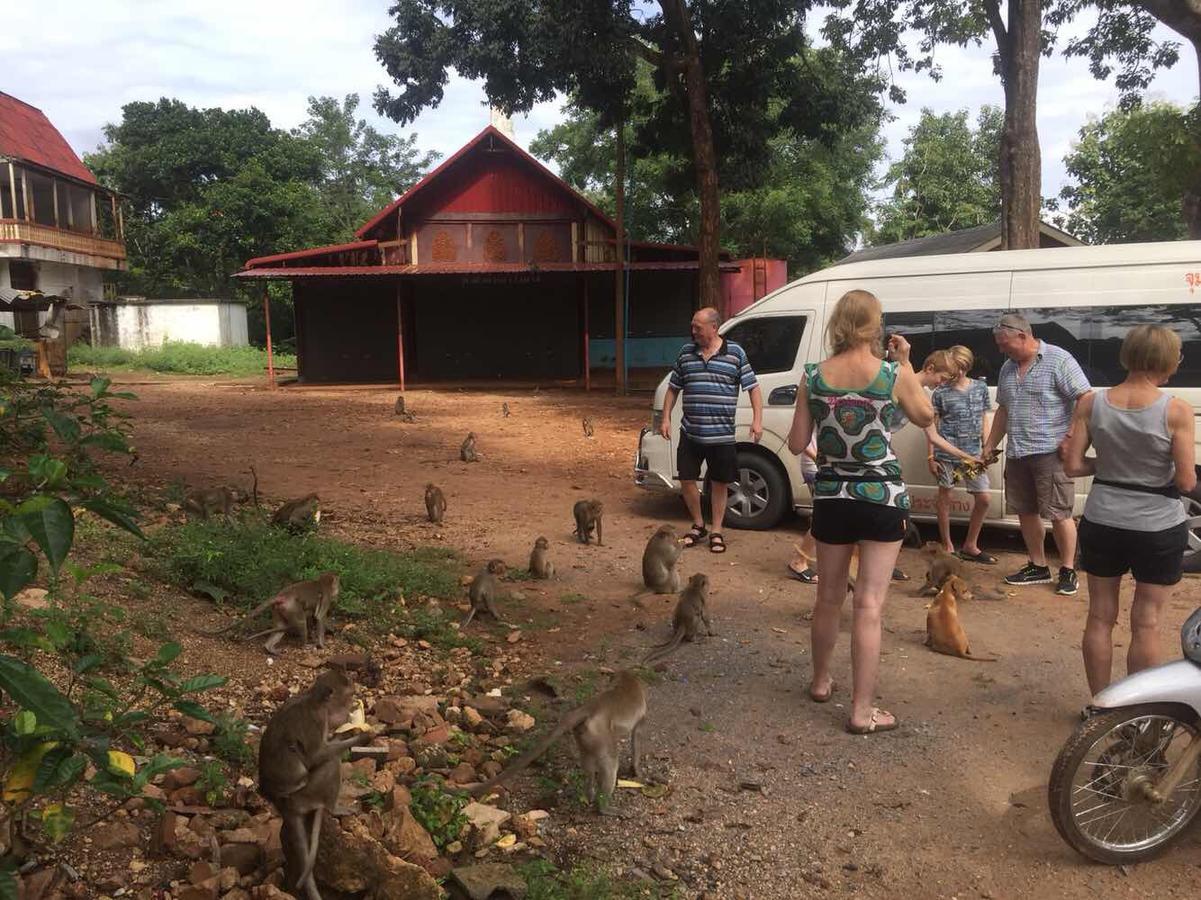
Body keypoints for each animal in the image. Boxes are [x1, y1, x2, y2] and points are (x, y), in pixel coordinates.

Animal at [199, 576, 336, 653]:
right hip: (291, 607)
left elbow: (314, 617)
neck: (322, 582)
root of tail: (281, 596)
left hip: (278, 609)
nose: (338, 589)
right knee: (301, 623)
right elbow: (319, 617)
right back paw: (304, 645)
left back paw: (269, 648)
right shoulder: (327, 597)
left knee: (281, 628)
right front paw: (321, 644)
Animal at [259, 663, 372, 893]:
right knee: (331, 762)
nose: (352, 706)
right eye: (349, 696)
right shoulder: (316, 722)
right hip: (306, 794)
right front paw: (358, 735)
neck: (316, 702)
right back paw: (333, 808)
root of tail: (285, 803)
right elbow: (316, 756)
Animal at [468, 668, 648, 812]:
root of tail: (590, 708)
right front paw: (637, 771)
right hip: (599, 734)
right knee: (610, 763)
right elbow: (638, 735)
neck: (626, 679)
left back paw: (589, 794)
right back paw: (603, 808)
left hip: (585, 735)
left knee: (588, 763)